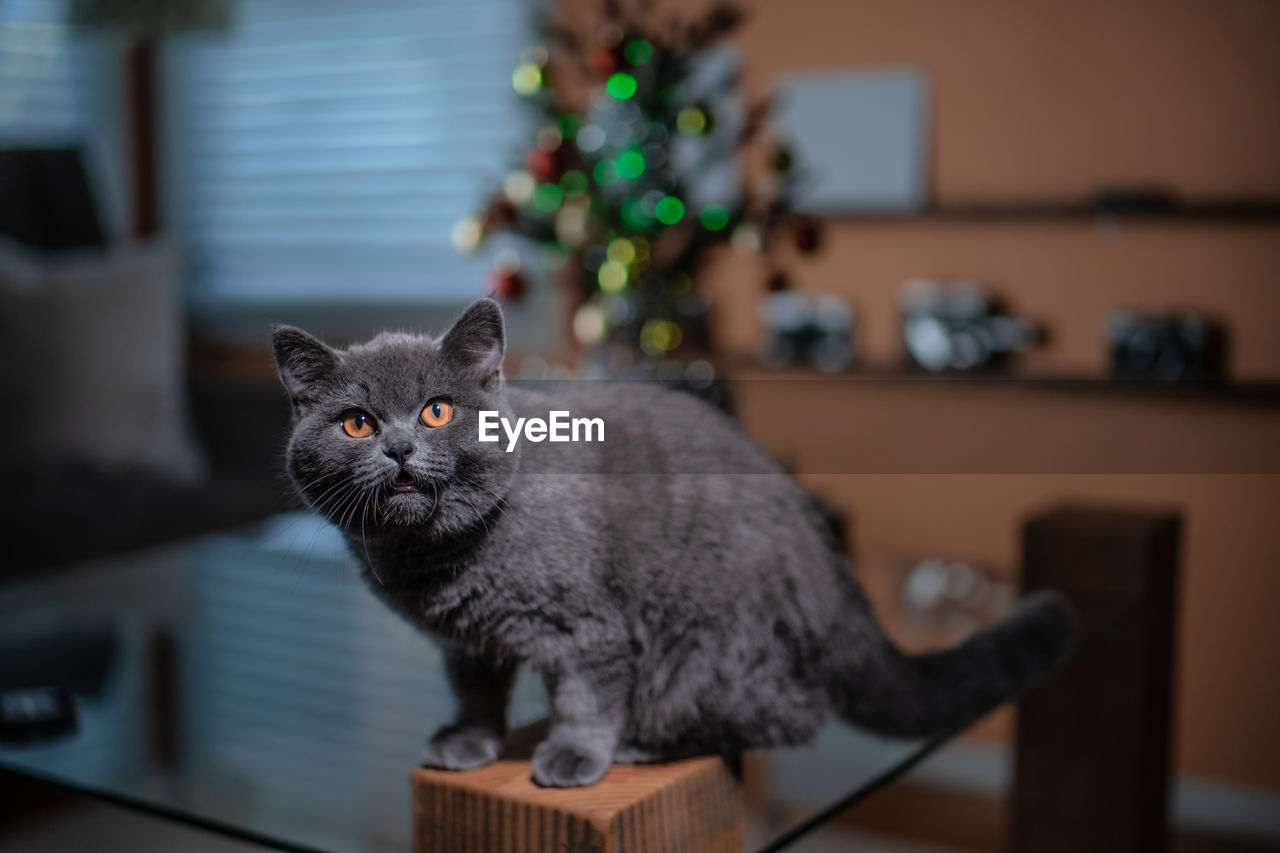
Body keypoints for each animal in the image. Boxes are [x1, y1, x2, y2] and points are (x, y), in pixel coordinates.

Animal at [275, 297, 1075, 783]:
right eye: (356, 423)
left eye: (437, 410)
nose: (400, 448)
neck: (437, 555)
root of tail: (830, 568)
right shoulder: (465, 642)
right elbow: (476, 690)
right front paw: (468, 742)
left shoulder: (589, 626)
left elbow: (586, 697)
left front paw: (573, 756)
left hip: (706, 650)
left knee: (790, 714)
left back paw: (643, 745)